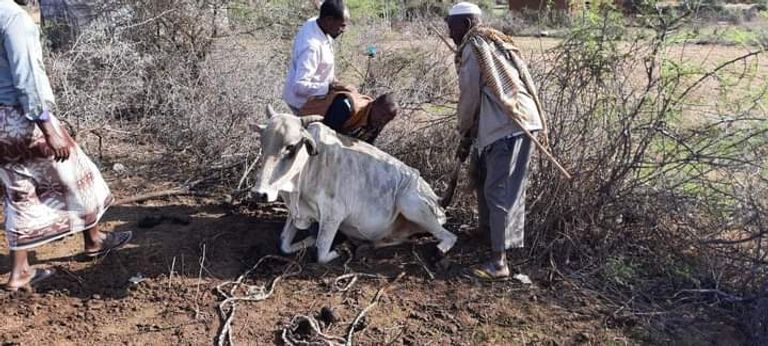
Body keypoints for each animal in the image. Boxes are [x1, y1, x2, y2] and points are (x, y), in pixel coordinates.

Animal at [250, 107, 456, 264]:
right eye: (262, 144)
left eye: (290, 147)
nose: (259, 193)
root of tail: (437, 200)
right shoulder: (297, 213)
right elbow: (284, 245)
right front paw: (308, 240)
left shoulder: (333, 215)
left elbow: (321, 253)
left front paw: (337, 250)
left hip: (410, 204)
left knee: (449, 236)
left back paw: (439, 251)